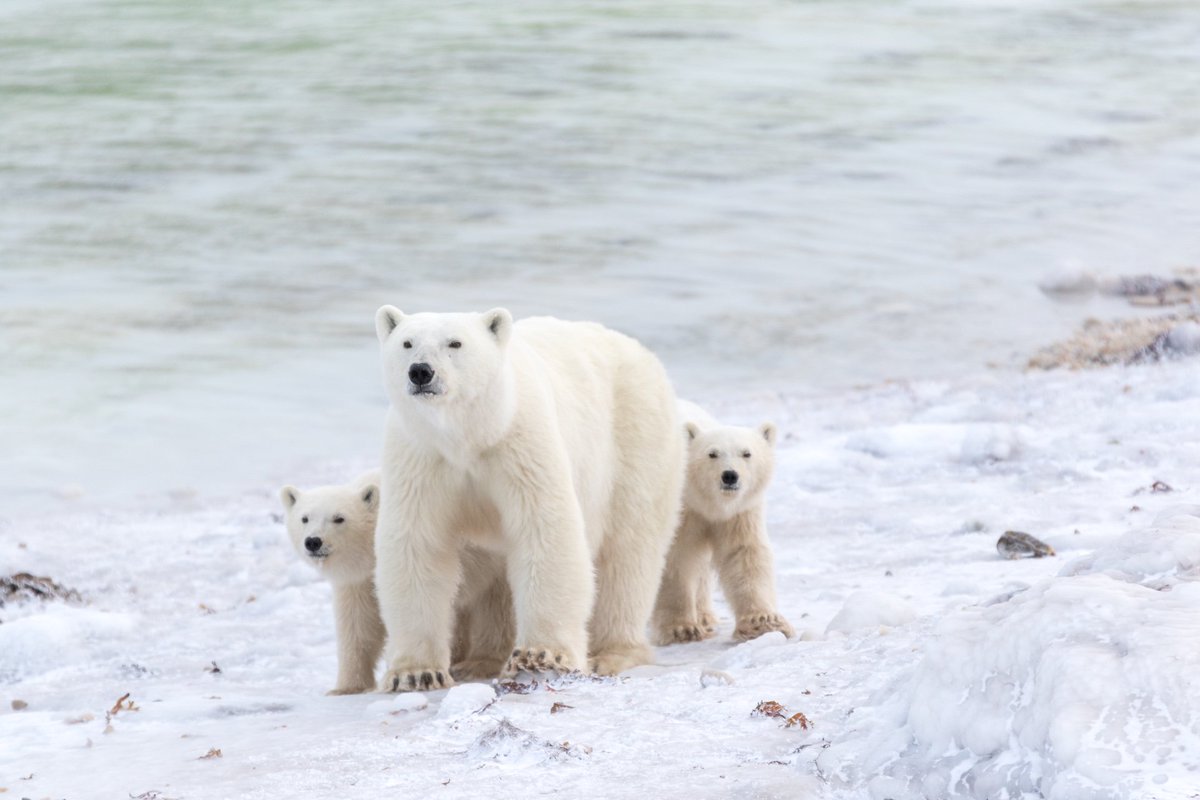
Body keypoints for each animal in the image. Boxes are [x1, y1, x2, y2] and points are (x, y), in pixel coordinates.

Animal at [369, 304, 686, 690]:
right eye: (407, 343)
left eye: (455, 343)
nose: (420, 372)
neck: (471, 436)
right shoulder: (421, 460)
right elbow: (417, 546)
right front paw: (417, 673)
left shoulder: (520, 446)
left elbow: (545, 530)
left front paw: (543, 656)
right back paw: (482, 660)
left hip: (635, 438)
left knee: (628, 551)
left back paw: (614, 652)